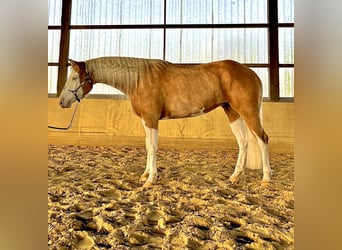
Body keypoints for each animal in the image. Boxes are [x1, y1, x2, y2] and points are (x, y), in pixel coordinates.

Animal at [59, 56, 272, 186]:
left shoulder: (151, 119)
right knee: (243, 142)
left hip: (248, 112)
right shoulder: (146, 121)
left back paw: (266, 178)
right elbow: (148, 146)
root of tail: (251, 73)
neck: (139, 80)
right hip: (232, 112)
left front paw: (150, 180)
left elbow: (153, 147)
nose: (61, 102)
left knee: (262, 139)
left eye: (74, 77)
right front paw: (145, 175)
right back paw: (235, 177)